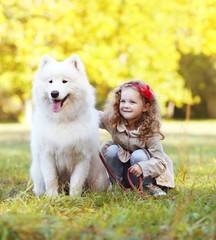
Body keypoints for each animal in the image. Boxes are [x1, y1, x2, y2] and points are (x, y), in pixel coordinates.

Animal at [29, 53, 109, 196]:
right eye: (50, 81)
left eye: (64, 81)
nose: (54, 93)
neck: (62, 120)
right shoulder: (47, 155)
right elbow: (51, 179)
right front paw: (52, 197)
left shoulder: (82, 157)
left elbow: (76, 182)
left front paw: (74, 198)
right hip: (37, 174)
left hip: (99, 177)